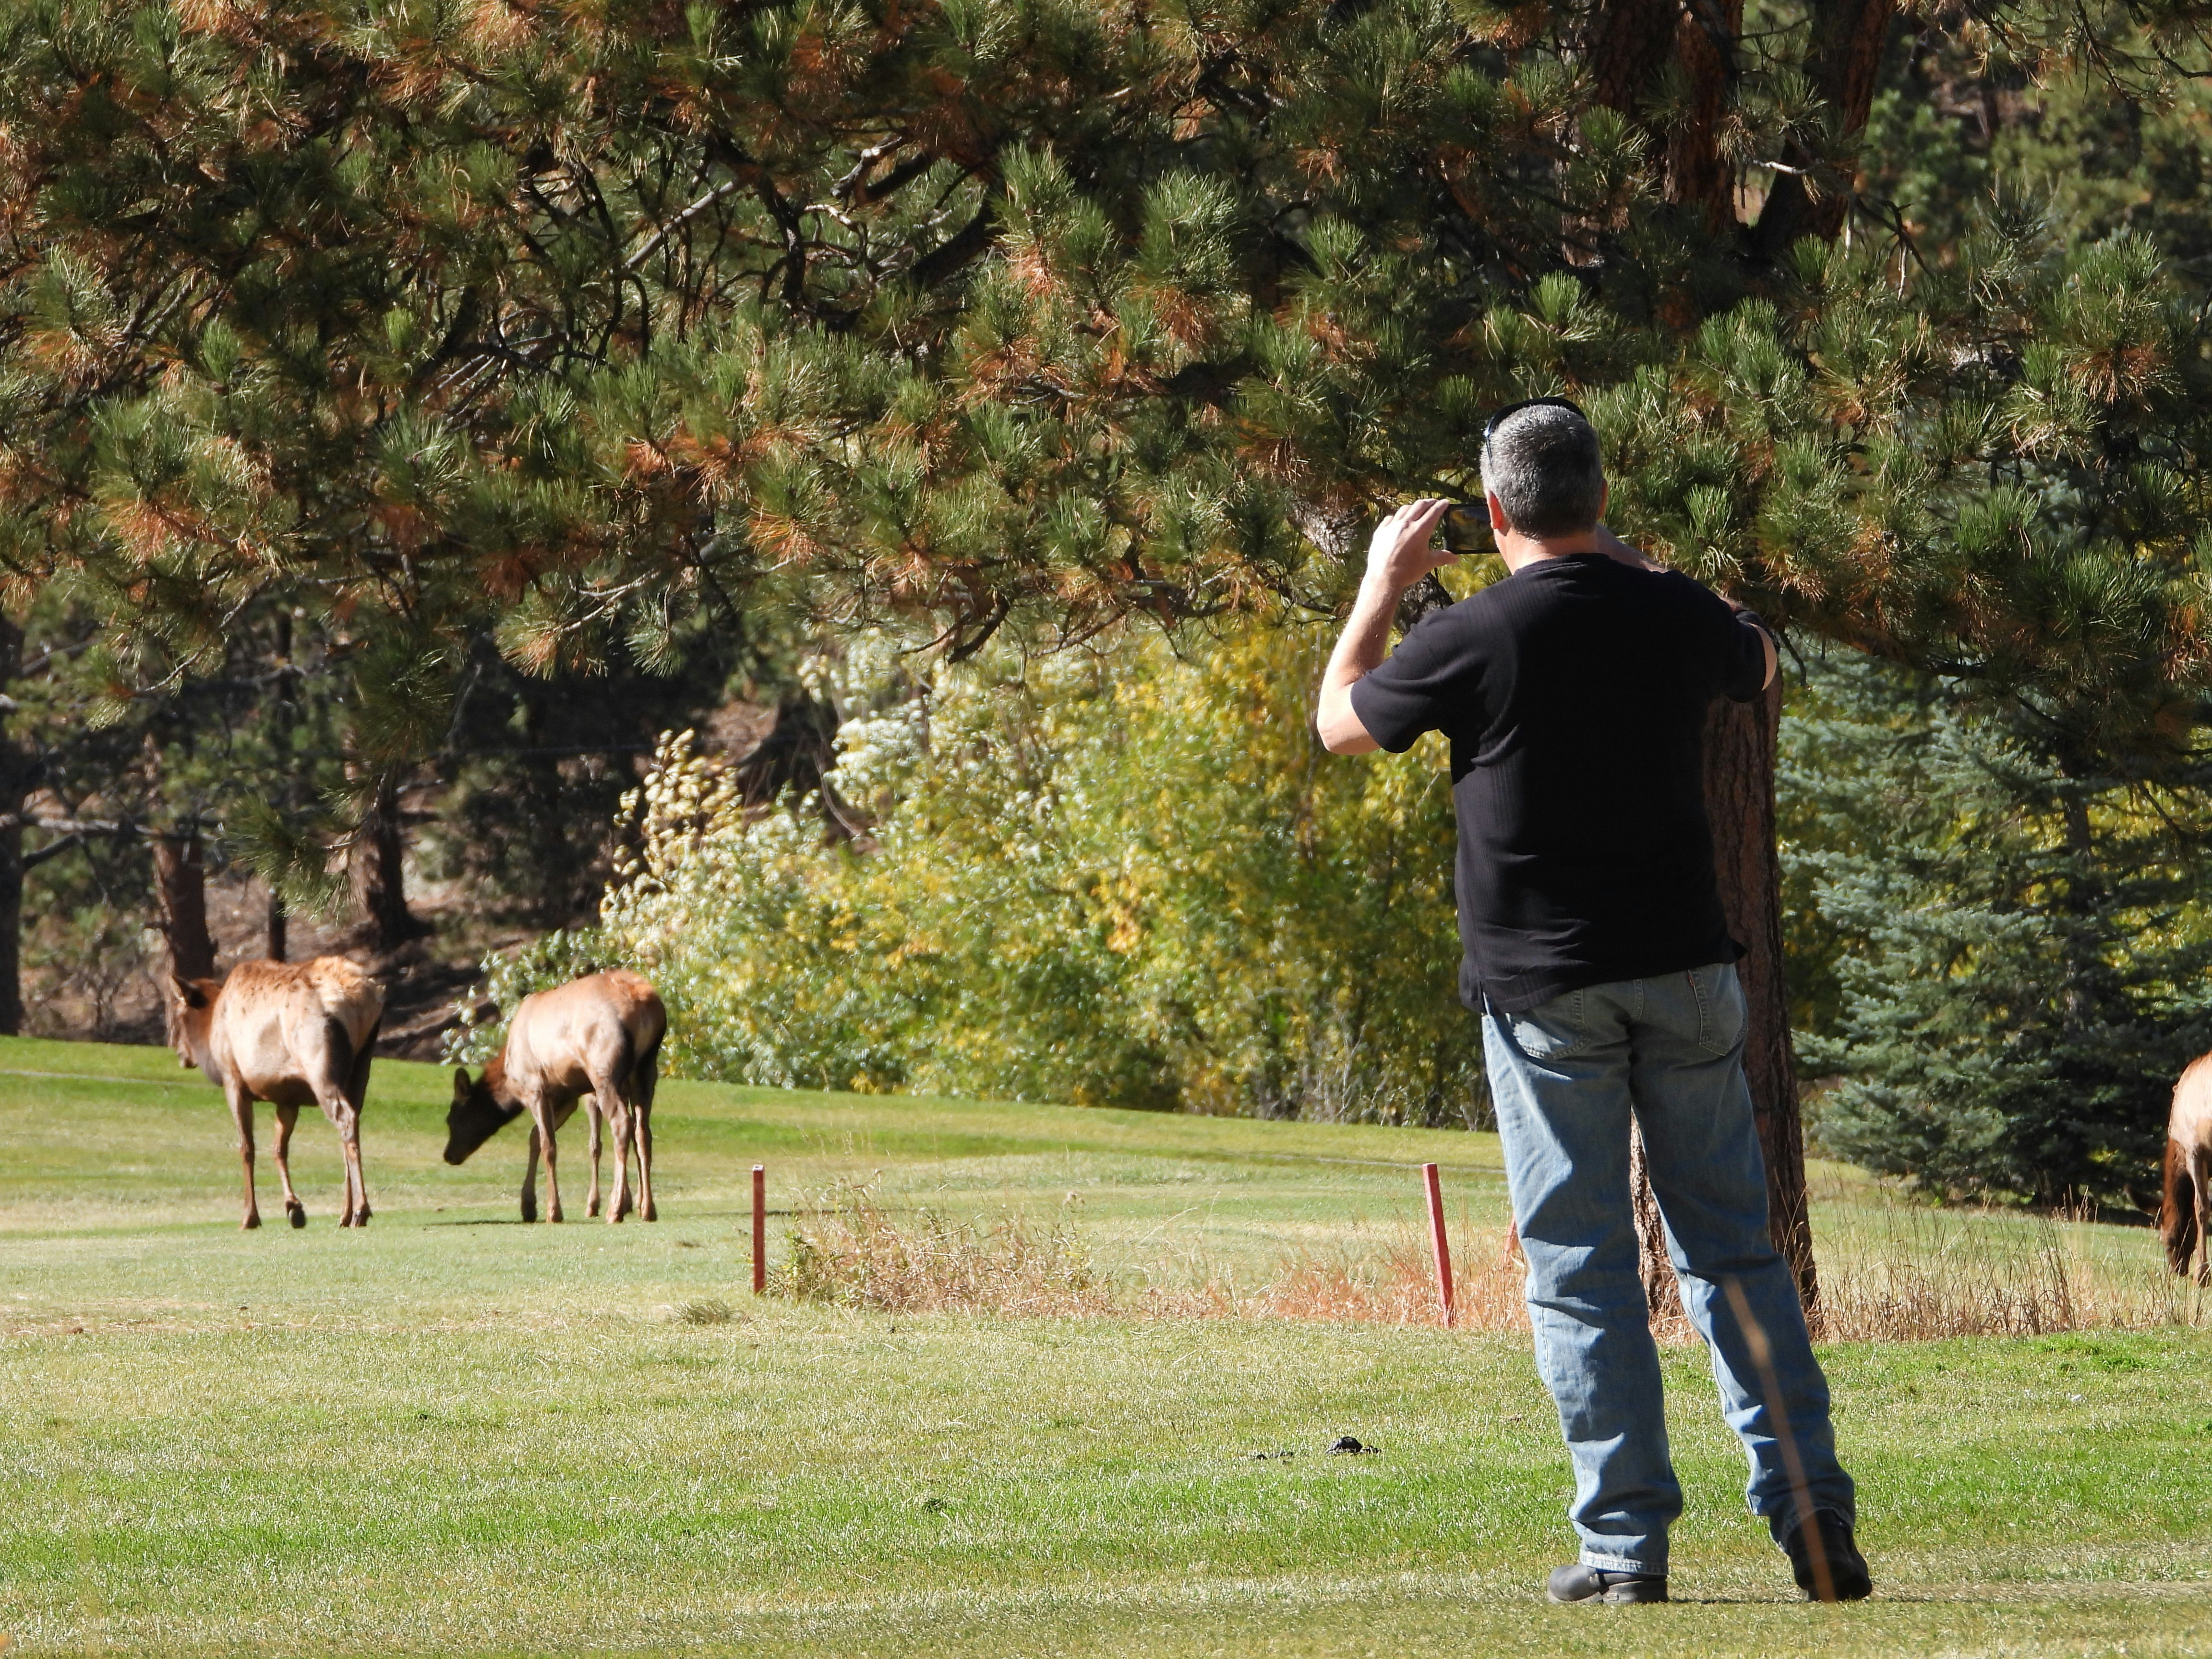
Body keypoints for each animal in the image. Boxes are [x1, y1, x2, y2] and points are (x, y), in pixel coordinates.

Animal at [168, 957, 385, 1230]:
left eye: (178, 1013)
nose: (179, 1052)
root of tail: (360, 999)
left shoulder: (233, 1079)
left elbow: (247, 1147)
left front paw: (250, 1217)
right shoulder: (288, 1098)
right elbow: (278, 1149)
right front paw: (294, 1208)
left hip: (320, 1065)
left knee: (344, 1119)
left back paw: (360, 1211)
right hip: (361, 1067)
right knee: (351, 1125)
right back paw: (346, 1214)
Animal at [444, 969, 666, 1224]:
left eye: (452, 1119)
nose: (448, 1155)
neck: (510, 1078)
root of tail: (646, 1006)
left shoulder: (535, 1087)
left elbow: (548, 1145)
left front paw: (552, 1211)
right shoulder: (566, 1096)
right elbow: (534, 1137)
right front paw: (528, 1206)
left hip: (604, 1070)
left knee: (622, 1124)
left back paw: (615, 1209)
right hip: (646, 1068)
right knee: (643, 1133)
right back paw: (648, 1209)